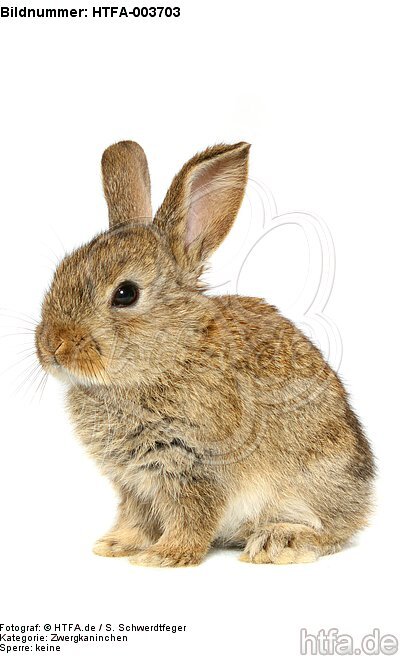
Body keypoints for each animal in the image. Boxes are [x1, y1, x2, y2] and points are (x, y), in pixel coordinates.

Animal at [35, 140, 375, 566]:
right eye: (60, 271)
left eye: (126, 293)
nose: (52, 344)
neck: (171, 355)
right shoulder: (134, 482)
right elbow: (136, 516)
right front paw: (116, 546)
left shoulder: (195, 466)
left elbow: (192, 516)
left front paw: (164, 556)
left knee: (331, 531)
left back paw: (278, 542)